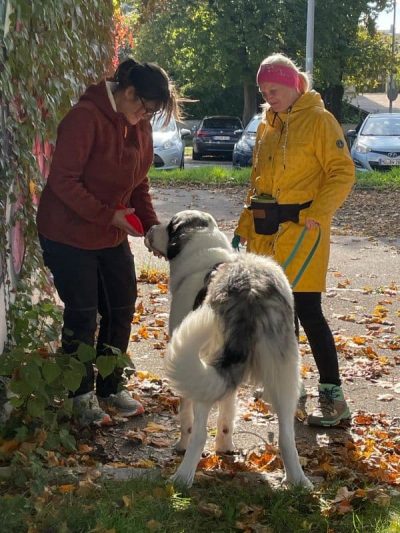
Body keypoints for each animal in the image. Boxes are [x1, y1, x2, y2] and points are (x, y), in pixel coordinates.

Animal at [145, 207, 310, 486]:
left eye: (169, 226)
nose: (148, 228)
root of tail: (249, 290)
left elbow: (186, 417)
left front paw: (182, 444)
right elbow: (227, 410)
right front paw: (224, 446)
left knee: (199, 432)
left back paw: (182, 477)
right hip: (284, 376)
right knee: (287, 437)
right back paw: (298, 482)